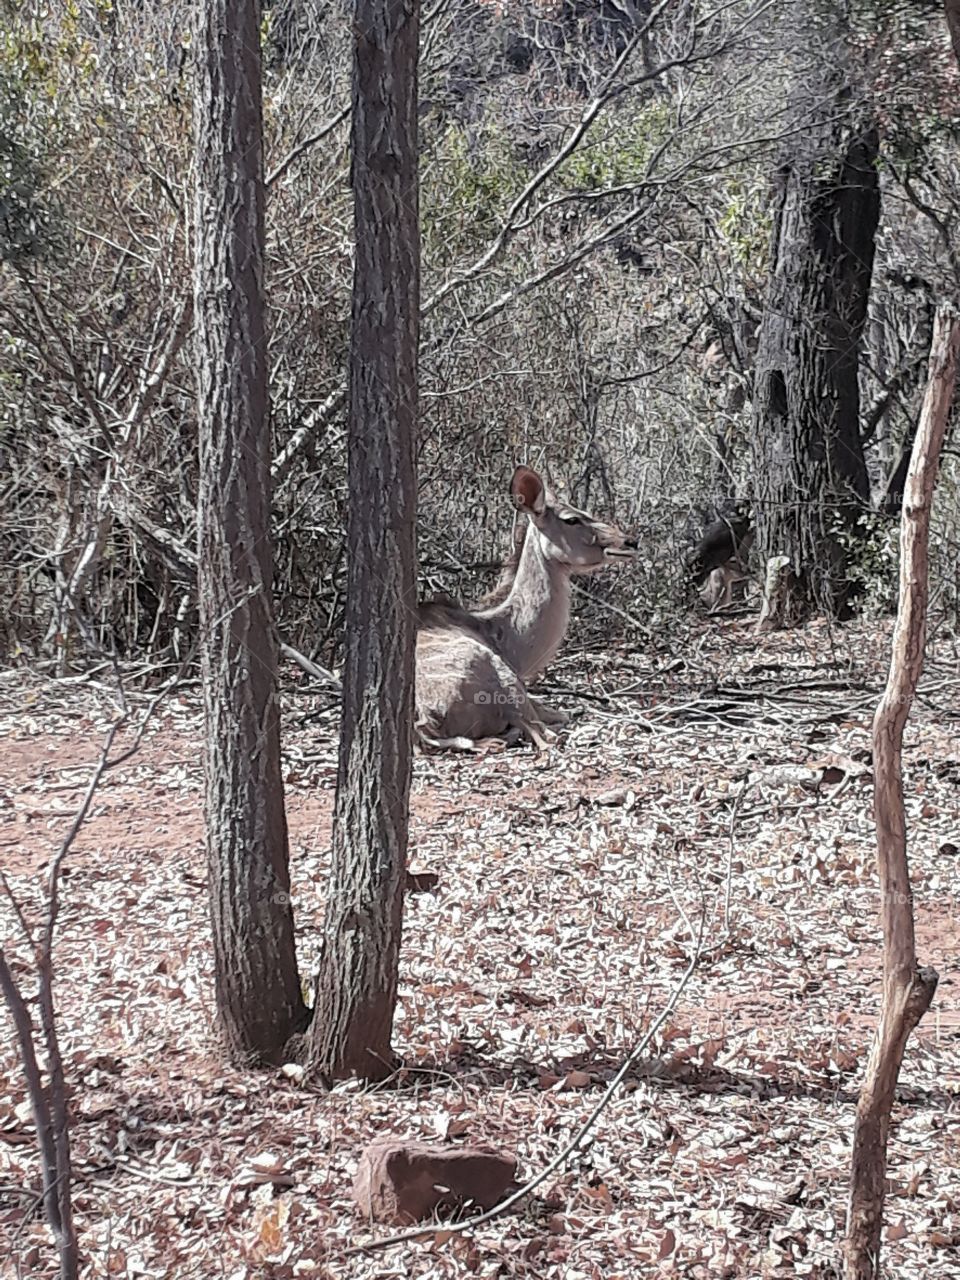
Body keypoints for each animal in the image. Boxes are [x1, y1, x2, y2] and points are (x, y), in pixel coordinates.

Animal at [415, 465, 637, 751]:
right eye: (572, 519)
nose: (629, 542)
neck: (499, 633)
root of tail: (426, 720)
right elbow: (558, 719)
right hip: (502, 677)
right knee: (543, 736)